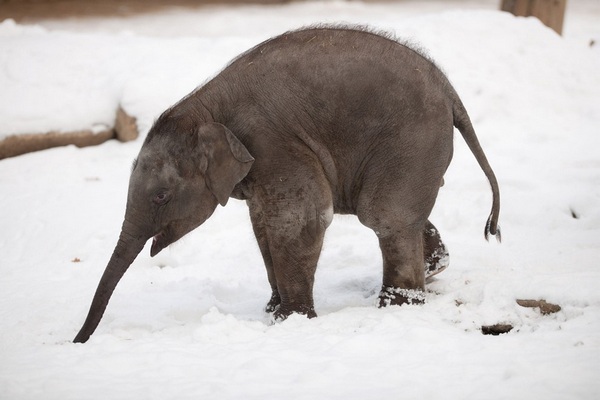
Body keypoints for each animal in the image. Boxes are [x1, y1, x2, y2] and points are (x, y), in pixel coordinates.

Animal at [72, 25, 500, 344]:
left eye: (161, 196)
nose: (77, 340)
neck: (205, 107)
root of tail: (450, 90)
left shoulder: (273, 142)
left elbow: (300, 219)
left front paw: (290, 321)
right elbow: (262, 224)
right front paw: (273, 310)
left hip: (411, 141)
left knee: (383, 215)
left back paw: (398, 306)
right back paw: (435, 266)